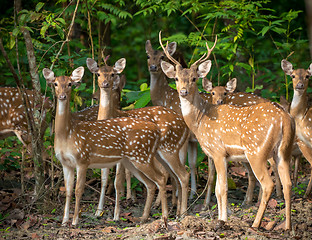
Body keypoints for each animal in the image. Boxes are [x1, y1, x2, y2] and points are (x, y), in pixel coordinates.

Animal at [43, 65, 171, 225]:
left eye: (70, 84)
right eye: (55, 84)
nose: (62, 96)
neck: (67, 134)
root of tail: (156, 130)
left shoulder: (82, 159)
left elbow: (78, 190)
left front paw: (75, 221)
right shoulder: (65, 163)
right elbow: (68, 190)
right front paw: (64, 221)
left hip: (141, 157)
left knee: (160, 179)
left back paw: (164, 217)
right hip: (132, 161)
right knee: (151, 184)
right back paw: (143, 217)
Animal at [146, 40, 197, 200]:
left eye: (162, 56)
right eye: (148, 55)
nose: (153, 67)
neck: (165, 97)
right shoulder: (191, 140)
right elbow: (191, 163)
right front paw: (186, 194)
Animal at [160, 31, 294, 229]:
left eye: (194, 78)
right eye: (176, 78)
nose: (183, 91)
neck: (200, 120)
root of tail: (284, 118)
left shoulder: (218, 151)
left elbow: (221, 188)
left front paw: (222, 220)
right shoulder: (220, 155)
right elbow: (217, 188)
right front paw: (221, 217)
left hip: (257, 150)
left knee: (267, 183)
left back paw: (255, 224)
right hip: (283, 151)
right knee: (288, 183)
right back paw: (288, 227)